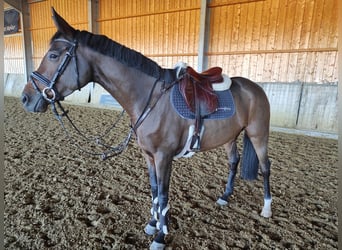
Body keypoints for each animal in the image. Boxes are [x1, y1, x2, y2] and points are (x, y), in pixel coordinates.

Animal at [21, 8, 272, 250]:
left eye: (53, 55)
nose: (26, 98)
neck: (150, 99)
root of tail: (255, 88)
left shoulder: (163, 157)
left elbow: (162, 194)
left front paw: (160, 237)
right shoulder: (148, 155)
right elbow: (153, 190)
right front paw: (152, 225)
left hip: (258, 135)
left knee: (265, 167)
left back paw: (267, 208)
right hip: (230, 137)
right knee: (234, 161)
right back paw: (225, 197)